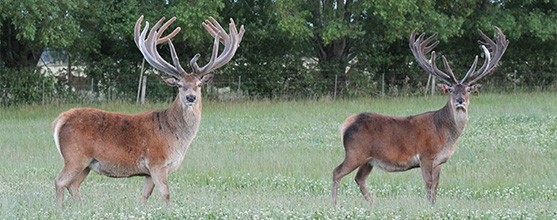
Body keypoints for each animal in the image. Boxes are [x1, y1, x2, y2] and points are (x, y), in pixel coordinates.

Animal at [52, 15, 243, 206]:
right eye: (180, 85)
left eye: (198, 85)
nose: (191, 97)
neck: (175, 135)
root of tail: (60, 119)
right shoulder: (157, 162)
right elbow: (166, 194)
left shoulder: (148, 173)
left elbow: (145, 196)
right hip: (75, 156)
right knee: (59, 181)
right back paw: (59, 209)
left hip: (87, 164)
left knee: (73, 185)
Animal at [330, 27, 508, 206]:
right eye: (450, 89)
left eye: (468, 90)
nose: (460, 101)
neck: (445, 134)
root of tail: (345, 125)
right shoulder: (426, 155)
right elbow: (428, 185)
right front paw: (429, 205)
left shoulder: (440, 162)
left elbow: (435, 186)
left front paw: (434, 205)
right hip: (355, 152)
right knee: (336, 171)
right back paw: (334, 204)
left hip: (369, 160)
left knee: (359, 178)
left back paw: (372, 203)